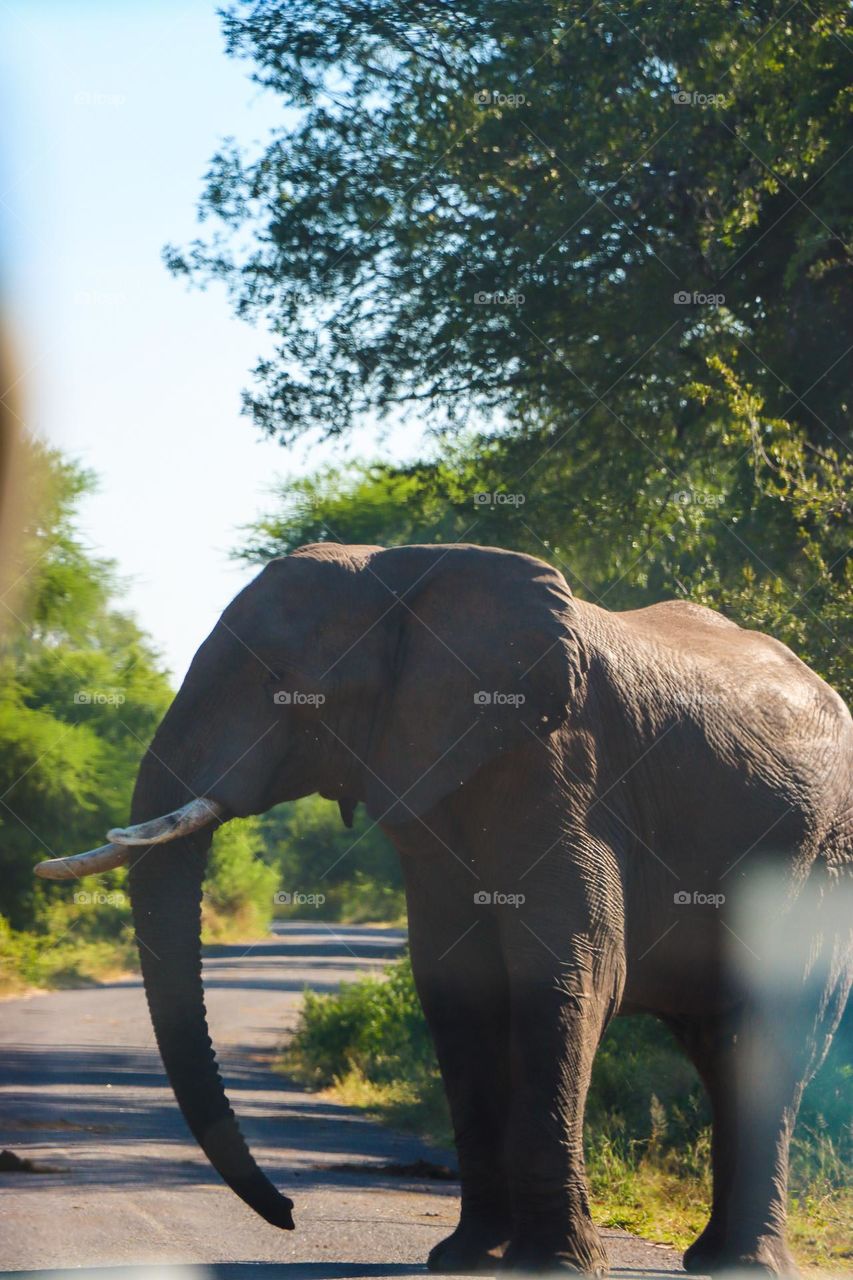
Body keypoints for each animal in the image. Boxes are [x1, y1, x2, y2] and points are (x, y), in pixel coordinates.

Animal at [36, 542, 852, 1277]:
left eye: (280, 682)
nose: (291, 1215)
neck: (404, 575)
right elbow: (454, 986)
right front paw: (464, 1259)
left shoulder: (565, 770)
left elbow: (568, 975)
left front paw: (552, 1266)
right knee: (723, 1047)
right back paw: (715, 1259)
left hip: (824, 856)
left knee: (773, 1035)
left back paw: (743, 1265)